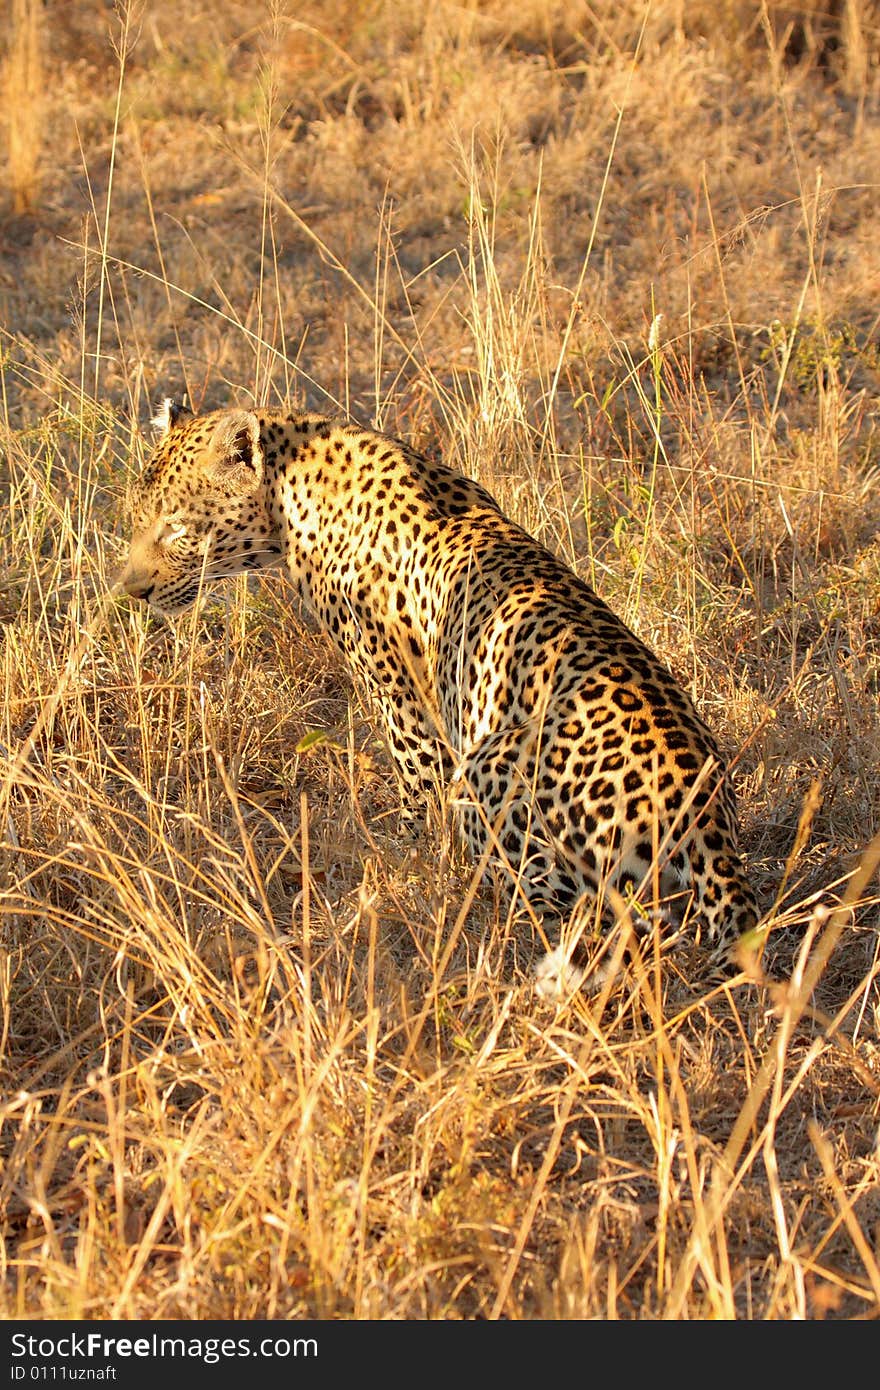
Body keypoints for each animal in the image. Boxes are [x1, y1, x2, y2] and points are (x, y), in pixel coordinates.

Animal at [120, 397, 756, 995]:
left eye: (176, 528)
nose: (131, 590)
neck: (293, 490)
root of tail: (709, 831)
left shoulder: (399, 696)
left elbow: (417, 786)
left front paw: (403, 859)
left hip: (488, 771)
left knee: (580, 906)